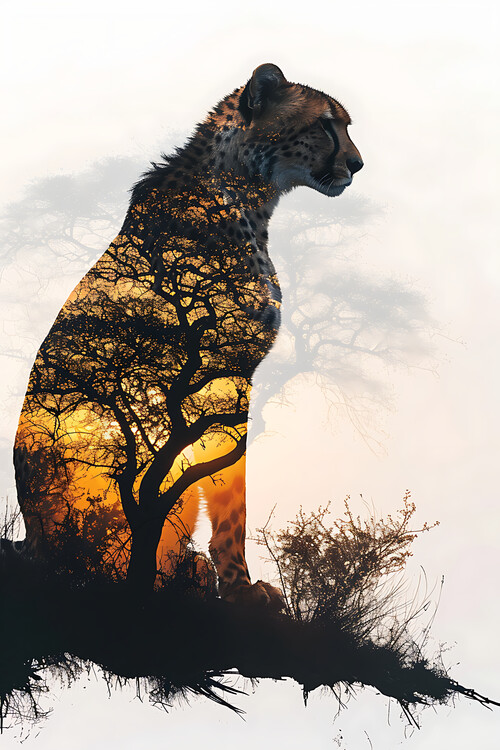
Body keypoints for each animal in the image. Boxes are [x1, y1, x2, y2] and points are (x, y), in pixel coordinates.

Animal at [14, 64, 362, 608]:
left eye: (346, 126)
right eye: (326, 124)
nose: (357, 164)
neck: (248, 192)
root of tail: (32, 541)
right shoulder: (225, 374)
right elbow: (231, 494)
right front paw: (240, 589)